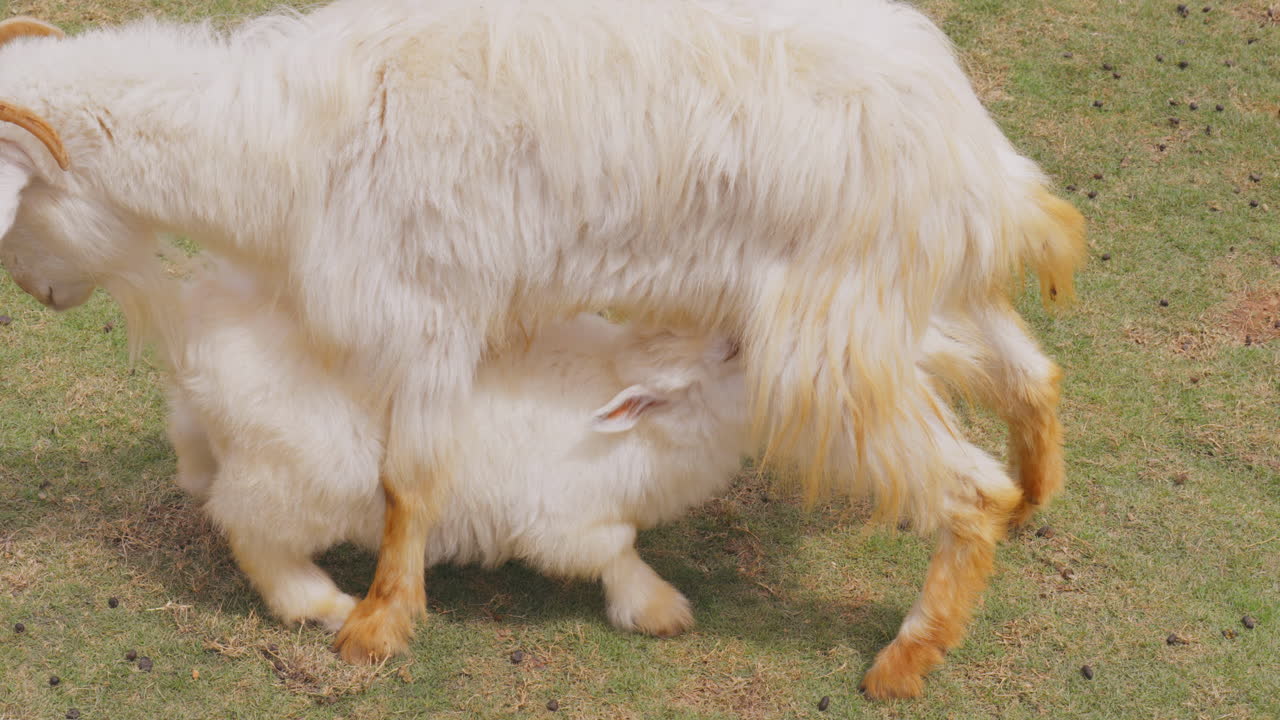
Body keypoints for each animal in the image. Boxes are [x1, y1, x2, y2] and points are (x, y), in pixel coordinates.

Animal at [0, 0, 1084, 697]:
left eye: (17, 212)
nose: (42, 296)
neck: (280, 141)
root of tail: (978, 161)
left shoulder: (427, 310)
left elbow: (407, 479)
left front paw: (377, 626)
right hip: (906, 305)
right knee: (1030, 374)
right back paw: (1033, 499)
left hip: (830, 336)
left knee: (964, 484)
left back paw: (905, 660)